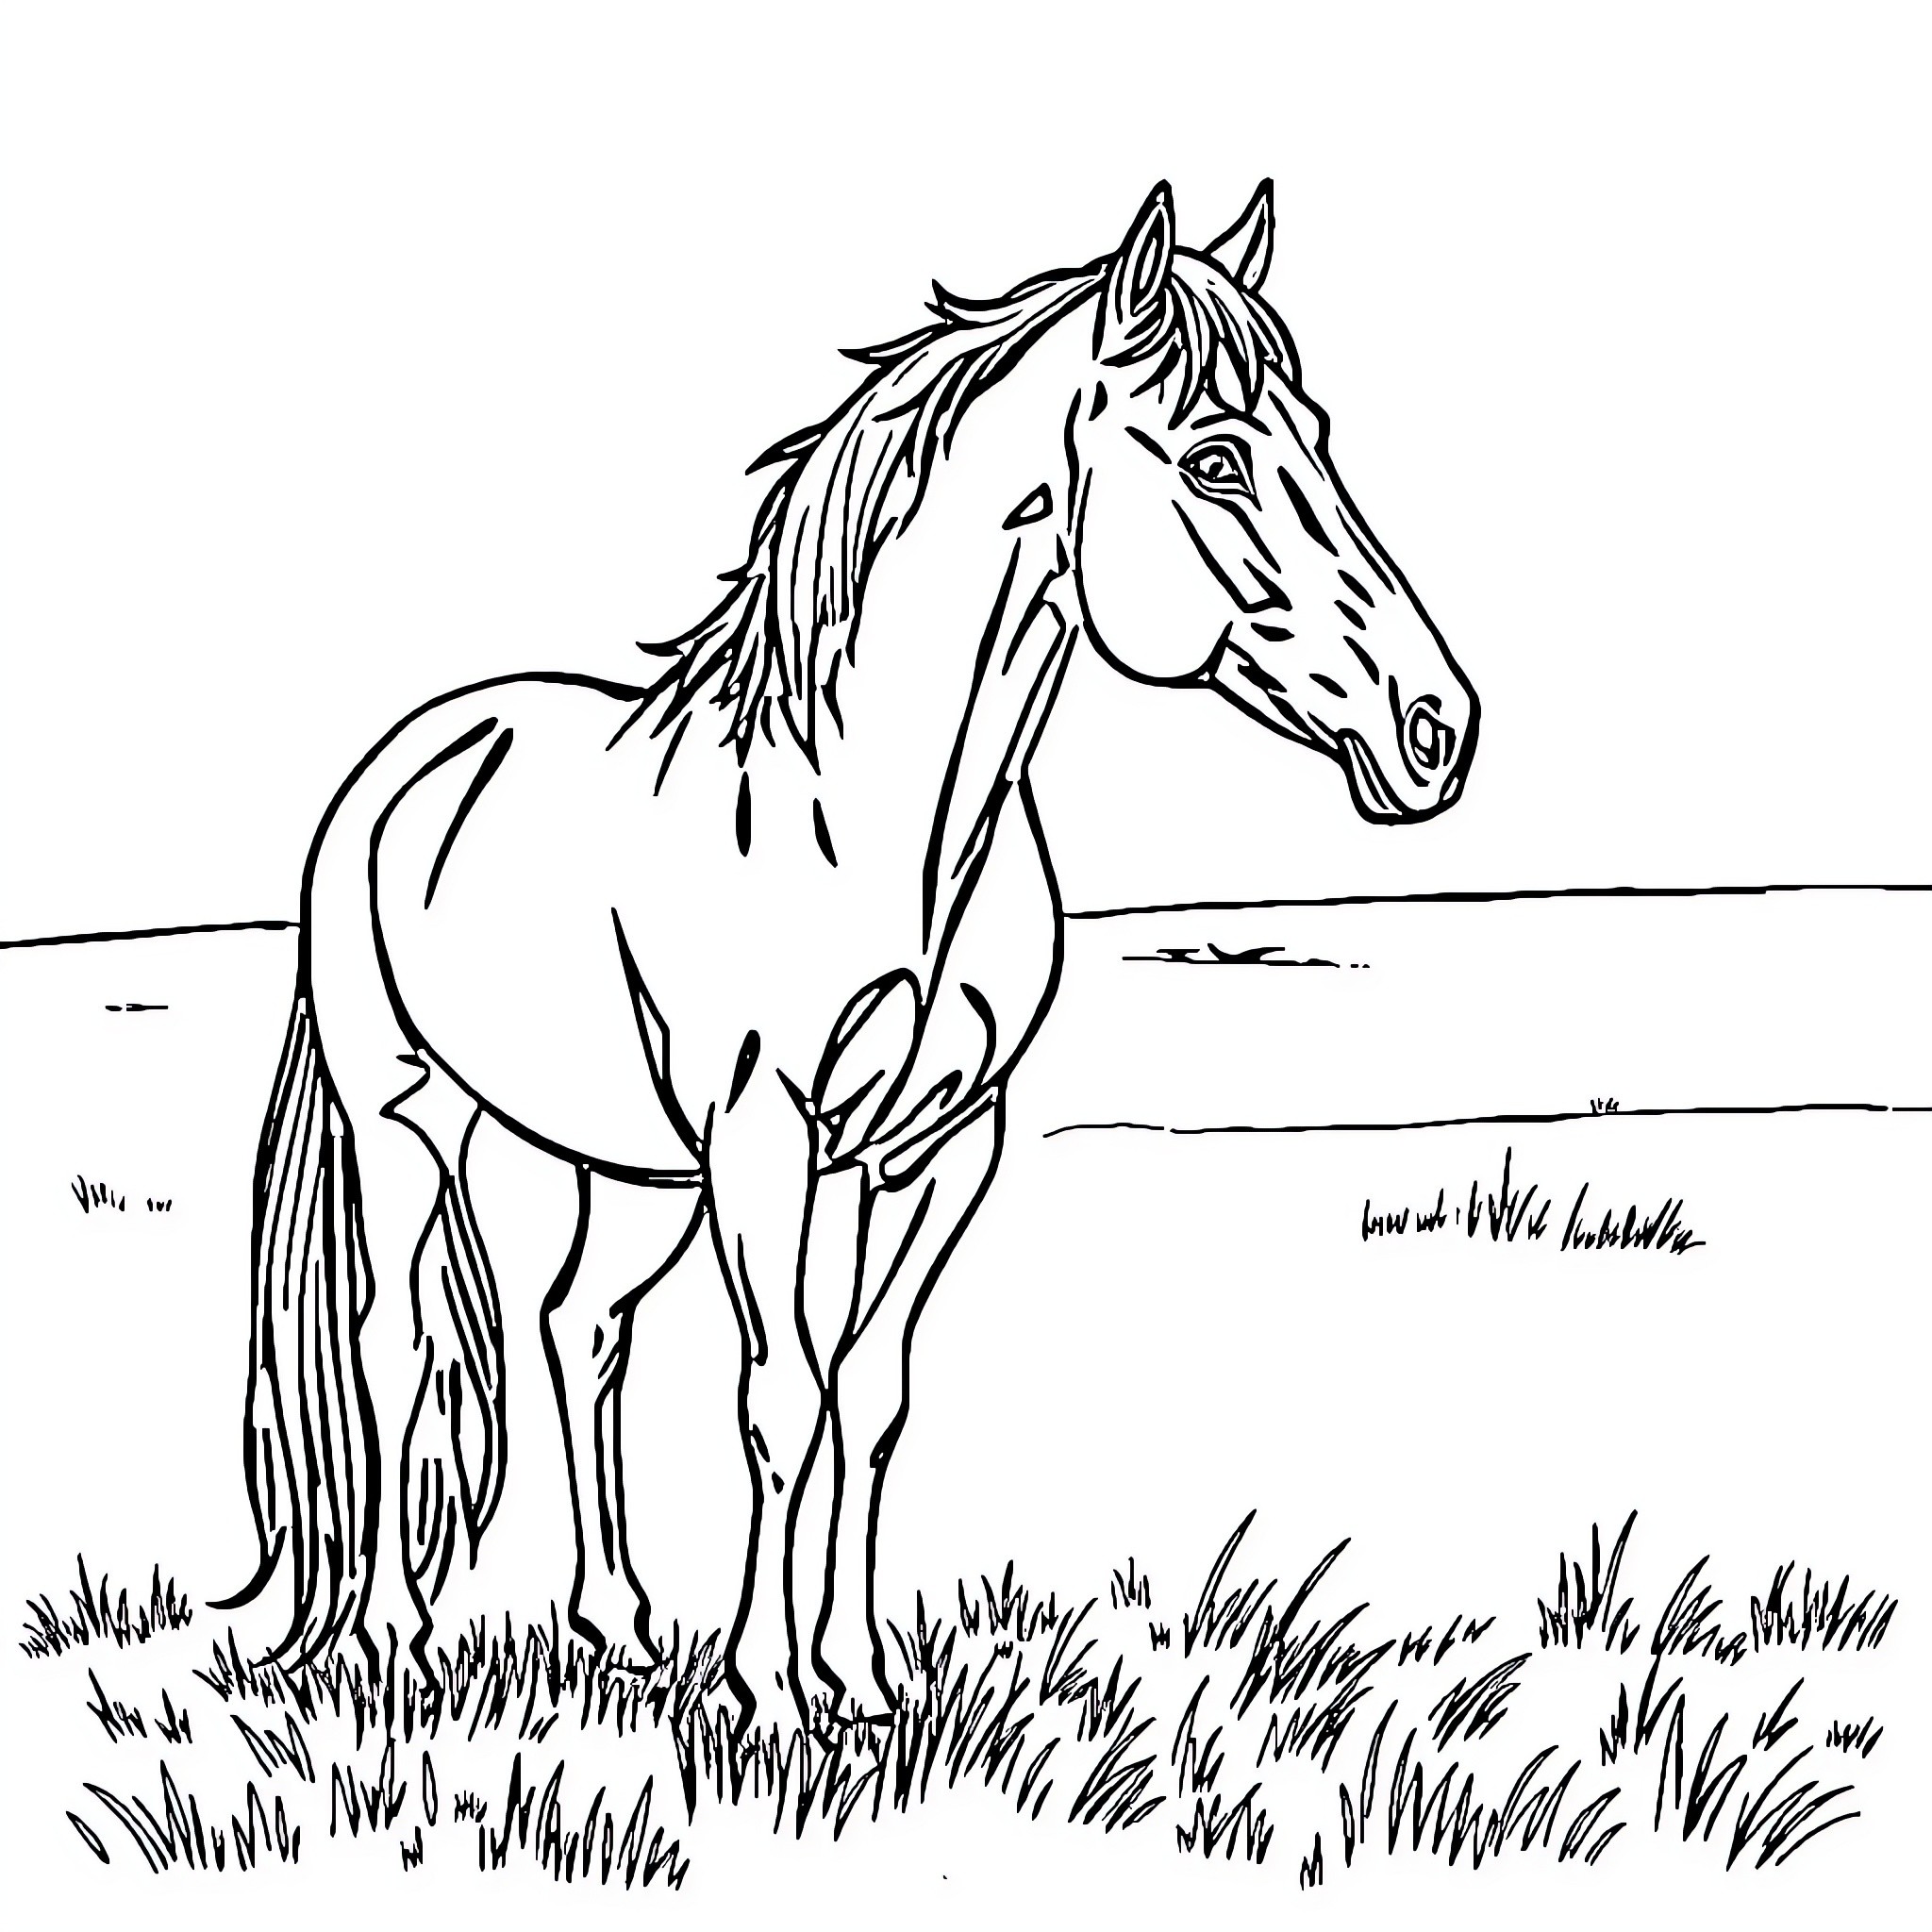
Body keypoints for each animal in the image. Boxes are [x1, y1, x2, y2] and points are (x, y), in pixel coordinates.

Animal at [224, 180, 1479, 1735]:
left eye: (1319, 433)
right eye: (1218, 457)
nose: (1437, 728)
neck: (880, 820)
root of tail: (406, 758)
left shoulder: (938, 1146)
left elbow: (868, 1393)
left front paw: (864, 1678)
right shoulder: (767, 1135)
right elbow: (778, 1395)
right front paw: (768, 1687)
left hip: (640, 1174)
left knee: (582, 1332)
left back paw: (618, 1627)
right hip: (410, 1121)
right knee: (397, 1352)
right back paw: (395, 1640)